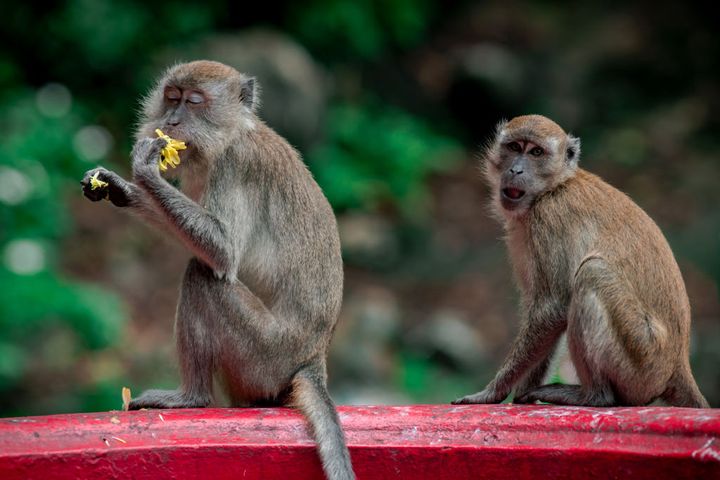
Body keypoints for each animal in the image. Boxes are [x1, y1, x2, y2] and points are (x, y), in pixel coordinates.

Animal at [80, 62, 356, 478]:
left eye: (194, 102)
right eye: (172, 98)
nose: (172, 121)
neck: (229, 135)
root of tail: (312, 358)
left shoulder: (235, 164)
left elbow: (222, 253)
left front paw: (145, 169)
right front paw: (119, 188)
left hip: (263, 356)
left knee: (201, 277)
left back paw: (192, 398)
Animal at [452, 114, 704, 406]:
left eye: (536, 152)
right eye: (514, 147)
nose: (516, 170)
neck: (555, 186)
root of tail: (678, 363)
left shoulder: (547, 218)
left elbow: (551, 309)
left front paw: (492, 392)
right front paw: (521, 392)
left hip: (641, 362)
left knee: (592, 273)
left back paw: (595, 396)